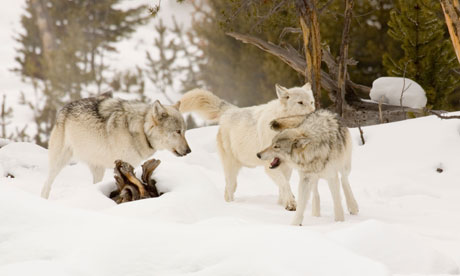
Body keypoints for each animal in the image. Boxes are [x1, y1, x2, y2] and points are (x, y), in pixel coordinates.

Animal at [40, 92, 190, 198]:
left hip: (97, 169)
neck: (141, 128)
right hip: (59, 162)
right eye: (178, 131)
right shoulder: (124, 165)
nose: (189, 151)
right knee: (46, 186)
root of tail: (63, 109)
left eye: (184, 131)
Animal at [180, 83, 316, 209]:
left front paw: (282, 204)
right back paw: (230, 205)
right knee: (229, 189)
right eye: (300, 102)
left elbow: (284, 185)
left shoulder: (286, 166)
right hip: (231, 169)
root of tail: (230, 111)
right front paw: (290, 204)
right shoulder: (270, 166)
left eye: (311, 102)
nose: (314, 113)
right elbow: (285, 184)